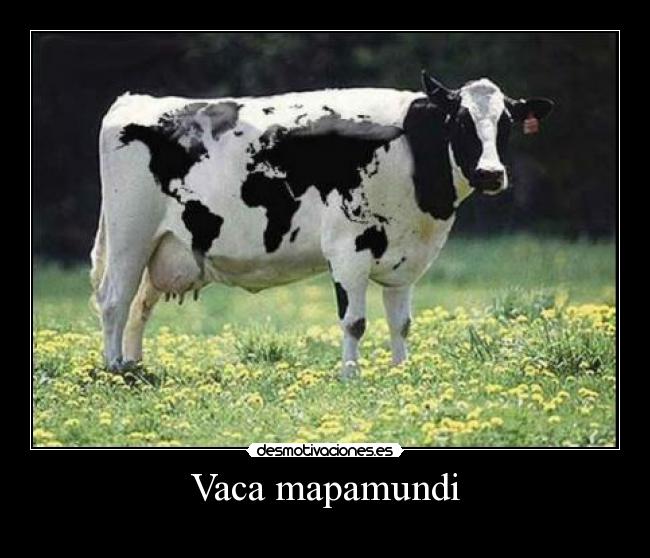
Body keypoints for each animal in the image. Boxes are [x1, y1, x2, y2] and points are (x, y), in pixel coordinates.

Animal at [90, 71, 553, 378]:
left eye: (507, 124)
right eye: (460, 121)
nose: (491, 174)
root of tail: (135, 100)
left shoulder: (404, 259)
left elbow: (400, 322)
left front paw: (401, 371)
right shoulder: (349, 248)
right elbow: (355, 322)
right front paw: (350, 376)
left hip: (164, 246)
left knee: (139, 307)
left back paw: (134, 367)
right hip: (130, 237)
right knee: (114, 301)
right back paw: (114, 369)